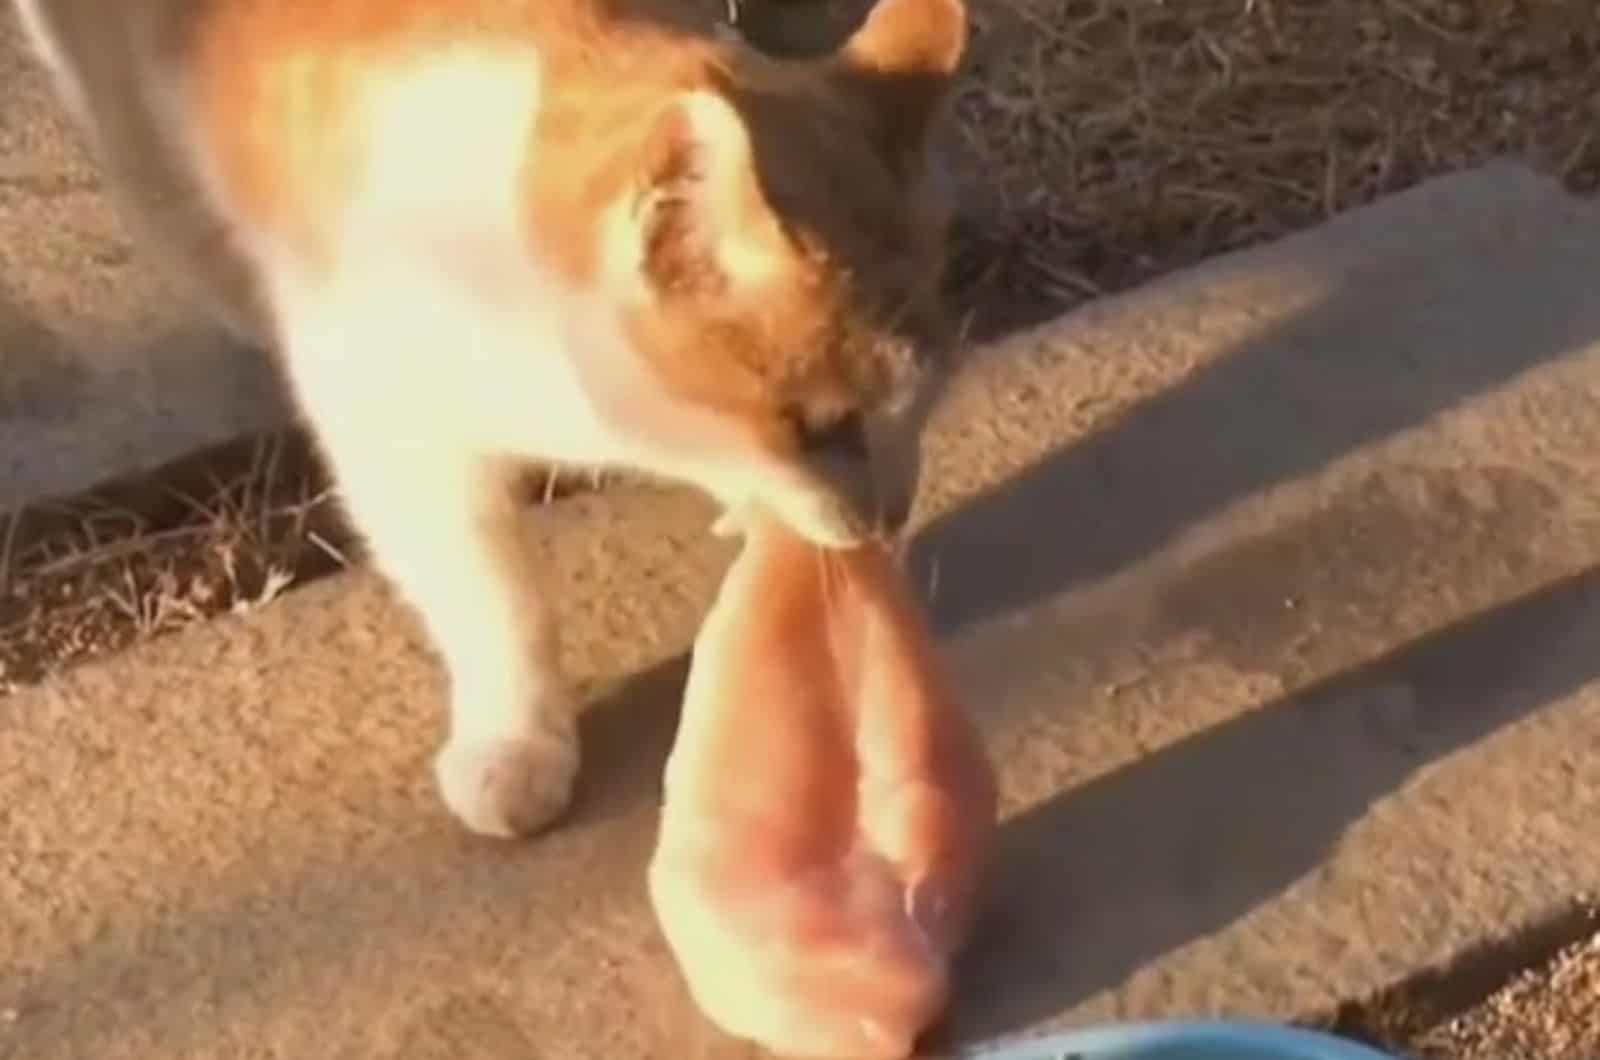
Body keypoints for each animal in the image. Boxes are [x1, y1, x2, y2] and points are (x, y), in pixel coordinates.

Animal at [12, 0, 966, 845]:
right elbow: (489, 592)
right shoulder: (387, 433)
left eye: (921, 406)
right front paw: (516, 738)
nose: (888, 516)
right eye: (817, 427)